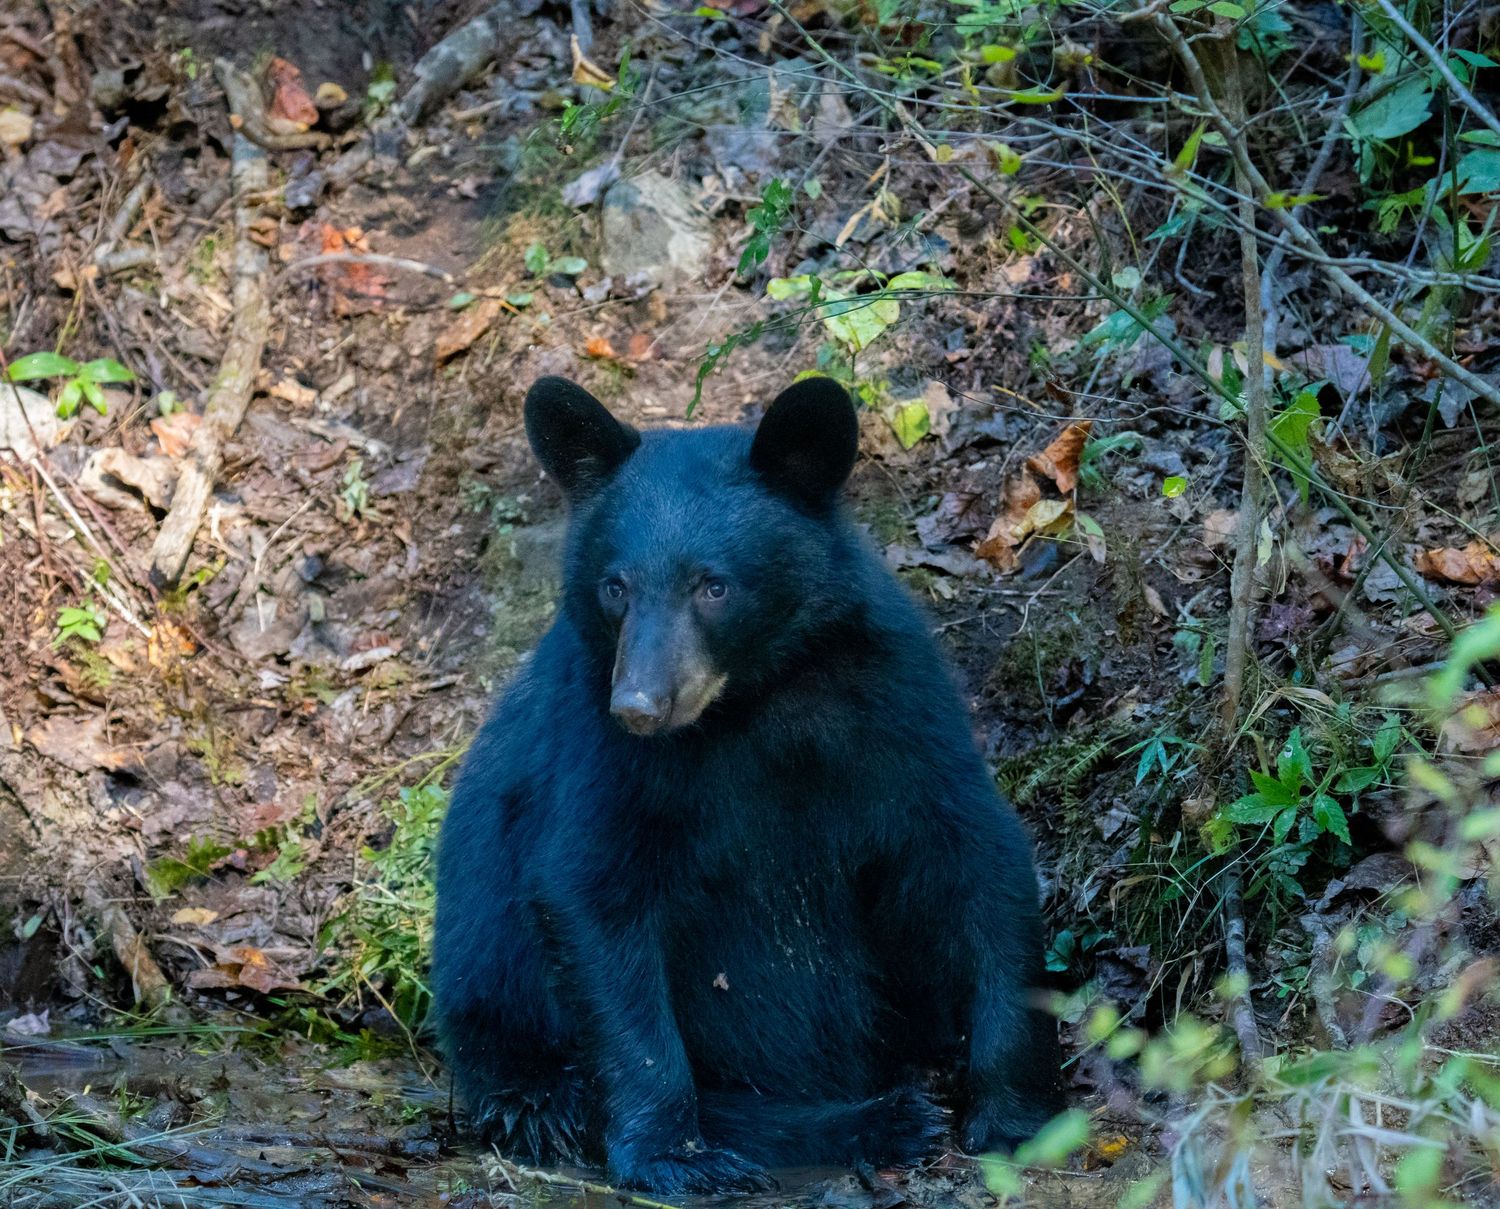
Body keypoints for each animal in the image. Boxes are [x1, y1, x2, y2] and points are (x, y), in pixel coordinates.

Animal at [431, 375, 1063, 1194]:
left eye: (714, 586)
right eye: (615, 587)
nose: (639, 705)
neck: (755, 699)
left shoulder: (898, 708)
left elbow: (974, 858)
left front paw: (1015, 1115)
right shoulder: (601, 754)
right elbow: (592, 895)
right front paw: (673, 1154)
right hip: (497, 981)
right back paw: (867, 1120)